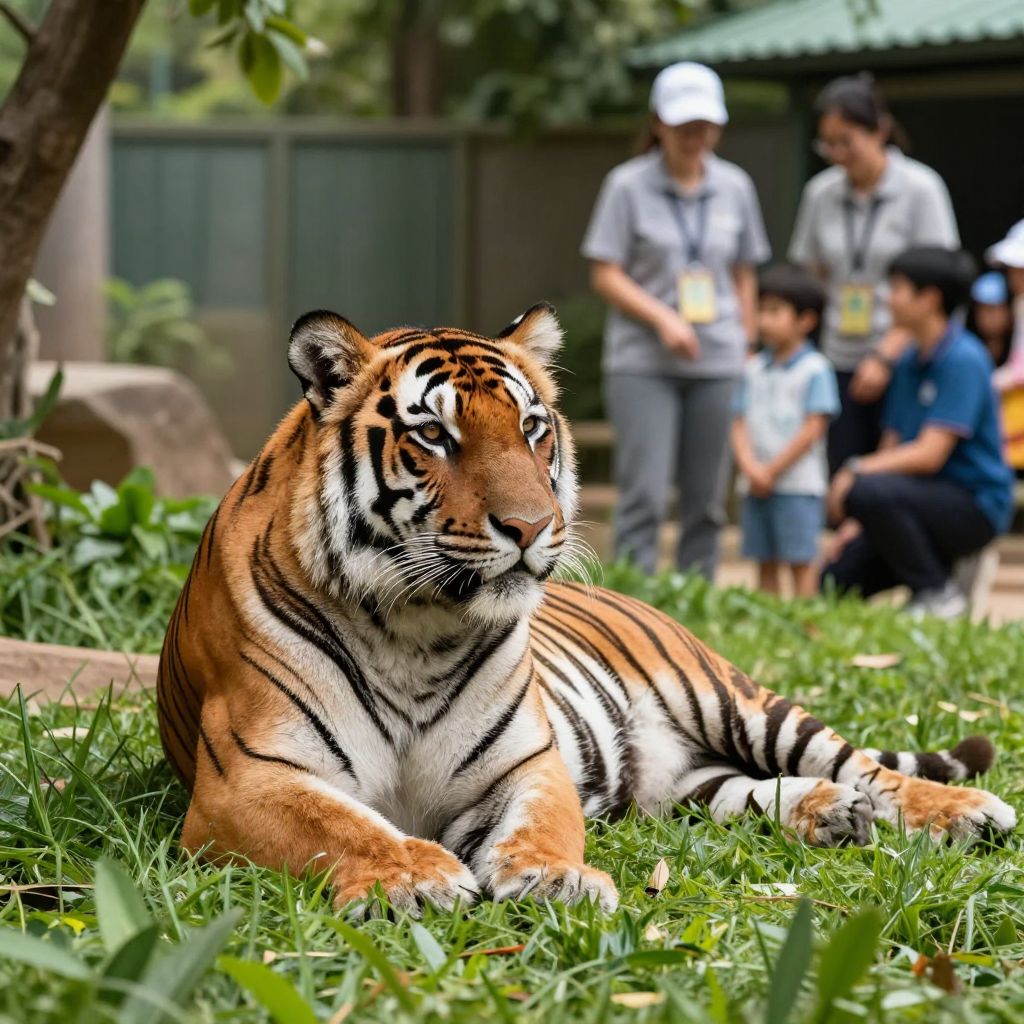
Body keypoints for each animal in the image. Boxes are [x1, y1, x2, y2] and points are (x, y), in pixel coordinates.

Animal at [157, 303, 1016, 915]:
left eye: (532, 428)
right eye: (434, 435)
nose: (533, 527)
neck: (415, 629)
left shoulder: (525, 763)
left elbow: (543, 824)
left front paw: (554, 880)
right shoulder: (247, 781)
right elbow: (342, 826)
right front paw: (416, 878)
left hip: (737, 701)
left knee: (869, 767)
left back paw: (963, 811)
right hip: (681, 783)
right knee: (746, 791)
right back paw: (833, 813)